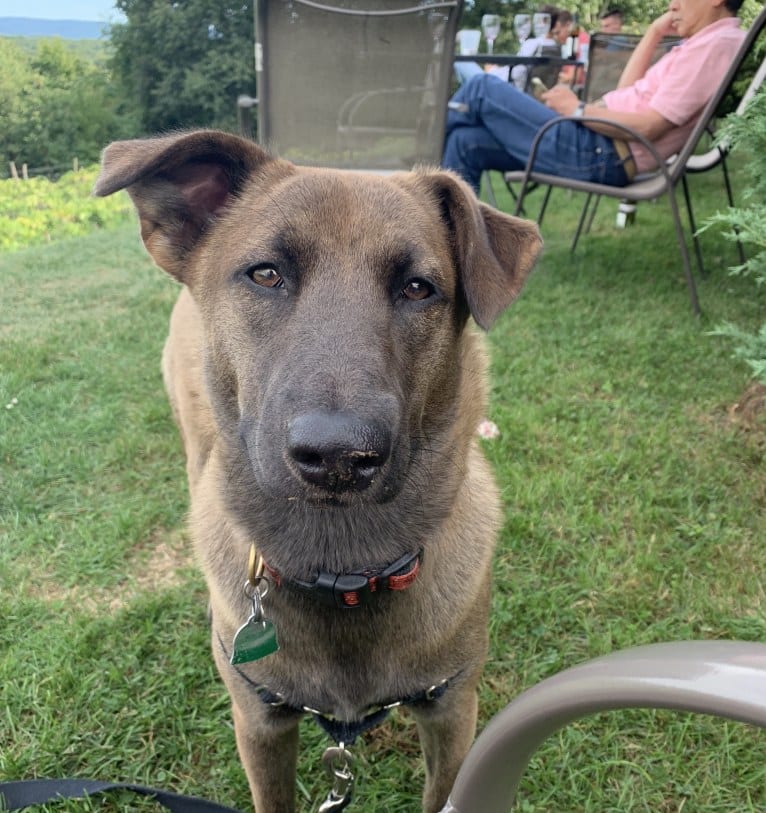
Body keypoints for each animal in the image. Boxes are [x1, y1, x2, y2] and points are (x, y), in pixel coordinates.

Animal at [94, 132, 540, 812]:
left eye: (418, 287)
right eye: (266, 273)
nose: (338, 456)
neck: (344, 568)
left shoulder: (452, 710)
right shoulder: (260, 724)